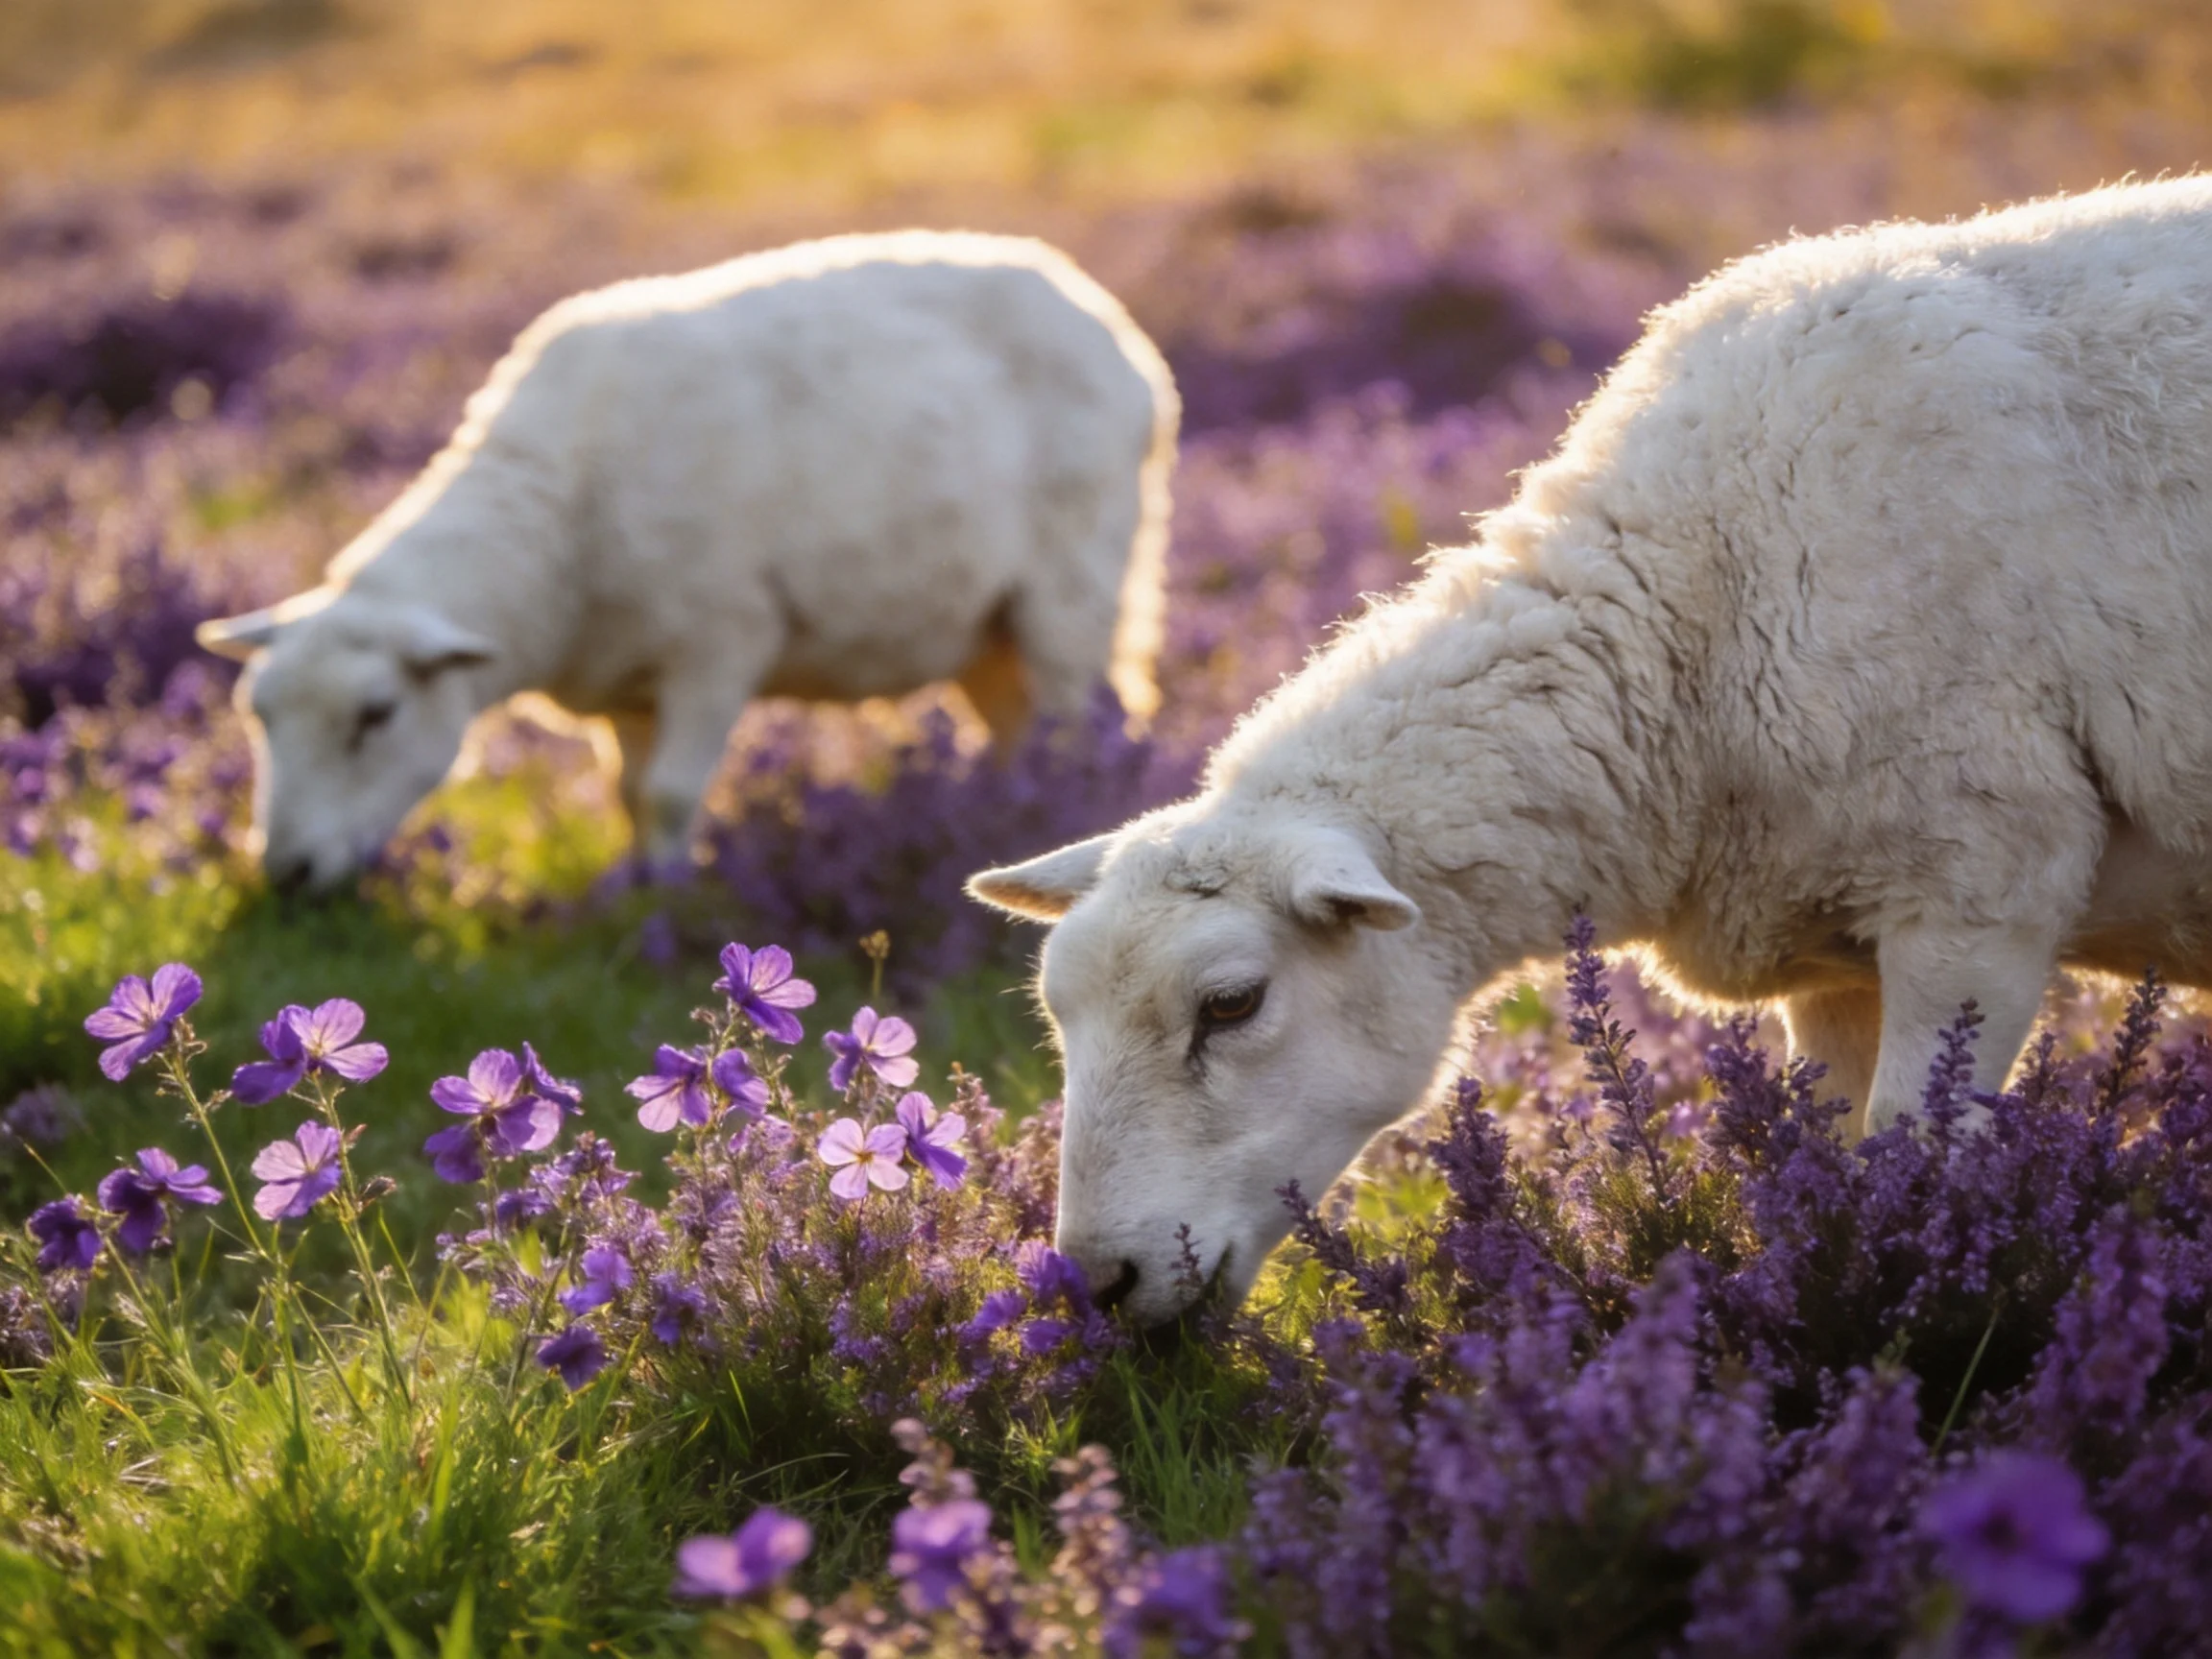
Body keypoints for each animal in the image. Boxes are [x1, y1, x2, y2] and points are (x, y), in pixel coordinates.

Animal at [198, 230, 1178, 891]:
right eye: (259, 715)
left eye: (377, 715)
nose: (285, 874)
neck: (558, 526)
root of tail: (1105, 318)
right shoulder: (626, 683)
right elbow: (631, 793)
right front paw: (637, 887)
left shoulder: (721, 642)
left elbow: (670, 792)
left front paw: (675, 893)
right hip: (985, 624)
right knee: (1019, 728)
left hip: (1076, 584)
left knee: (1078, 723)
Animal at [969, 176, 2212, 1324]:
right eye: (1057, 1014)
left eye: (1231, 1004)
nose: (1098, 1284)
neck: (1691, 614)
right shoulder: (1837, 957)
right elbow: (1828, 1174)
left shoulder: (1977, 898)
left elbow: (1917, 1164)